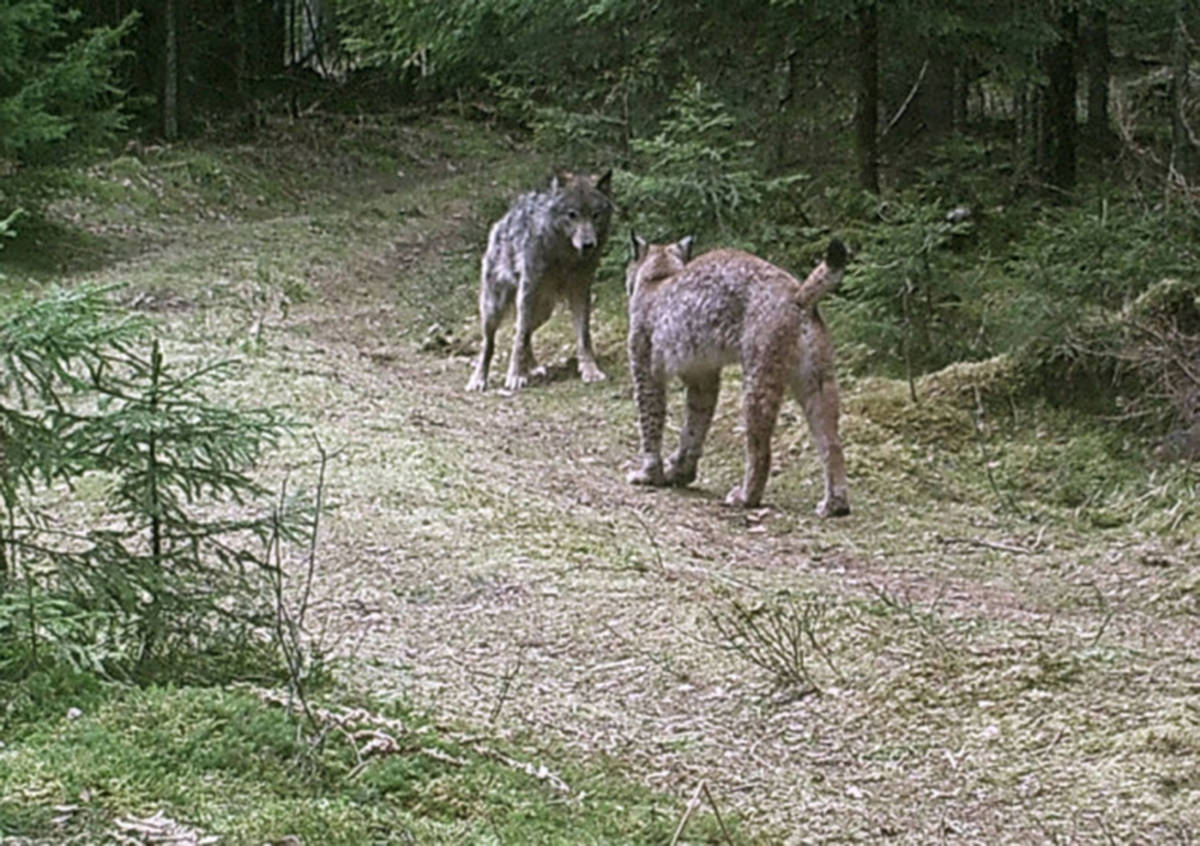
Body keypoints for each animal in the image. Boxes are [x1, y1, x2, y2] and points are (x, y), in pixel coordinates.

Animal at [463, 169, 614, 393]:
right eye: (572, 215)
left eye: (596, 215)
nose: (588, 244)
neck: (564, 256)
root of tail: (501, 222)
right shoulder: (528, 289)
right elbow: (519, 338)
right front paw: (516, 375)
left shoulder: (581, 290)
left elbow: (584, 337)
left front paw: (590, 370)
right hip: (495, 308)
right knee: (491, 343)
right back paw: (479, 379)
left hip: (543, 311)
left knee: (524, 333)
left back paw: (532, 367)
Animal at [624, 234, 849, 518]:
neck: (659, 274)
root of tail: (795, 291)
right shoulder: (702, 376)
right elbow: (694, 425)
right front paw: (681, 472)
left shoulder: (645, 370)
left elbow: (651, 423)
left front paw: (649, 474)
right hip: (818, 379)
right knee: (832, 443)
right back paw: (835, 504)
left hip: (758, 375)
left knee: (761, 450)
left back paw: (745, 497)